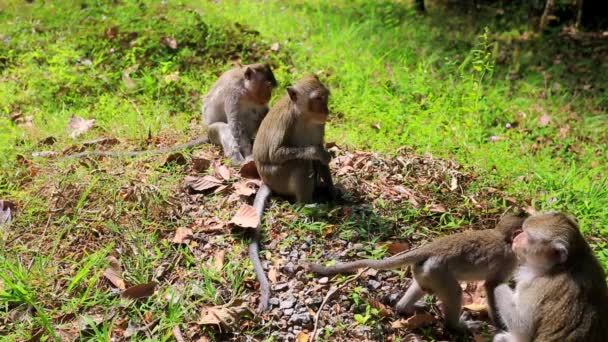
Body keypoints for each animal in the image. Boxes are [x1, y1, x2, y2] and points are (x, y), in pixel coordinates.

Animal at [249, 76, 340, 312]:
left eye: (325, 97)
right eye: (317, 99)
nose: (326, 110)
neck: (303, 116)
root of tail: (265, 181)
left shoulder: (319, 125)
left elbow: (320, 152)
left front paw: (333, 189)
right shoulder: (285, 122)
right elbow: (278, 153)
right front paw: (317, 153)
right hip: (277, 178)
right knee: (300, 163)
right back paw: (306, 205)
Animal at [308, 214, 528, 332]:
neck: (504, 238)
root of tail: (431, 247)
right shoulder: (508, 260)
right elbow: (492, 287)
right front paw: (502, 324)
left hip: (426, 270)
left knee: (422, 286)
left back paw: (404, 308)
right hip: (438, 270)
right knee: (455, 292)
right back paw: (455, 326)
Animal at [494, 212, 608, 340]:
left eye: (528, 237)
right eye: (523, 230)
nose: (516, 238)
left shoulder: (539, 287)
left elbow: (522, 329)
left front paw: (498, 285)